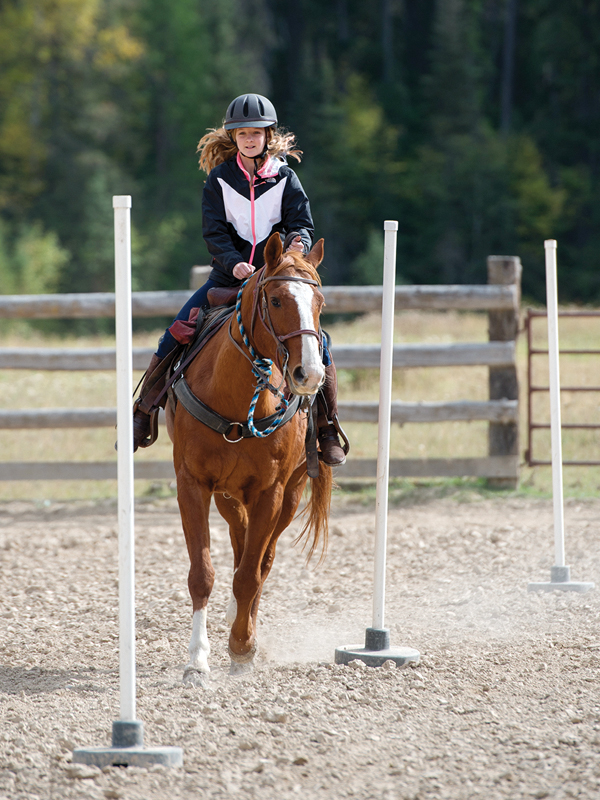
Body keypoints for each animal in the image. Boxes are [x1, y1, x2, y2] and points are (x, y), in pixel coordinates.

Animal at [165, 232, 333, 684]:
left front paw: (242, 646)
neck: (237, 398)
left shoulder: (271, 492)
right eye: (275, 300)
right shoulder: (193, 485)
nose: (309, 374)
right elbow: (202, 574)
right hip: (228, 495)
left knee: (262, 562)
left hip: (290, 495)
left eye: (319, 301)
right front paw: (197, 659)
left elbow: (250, 575)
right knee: (240, 543)